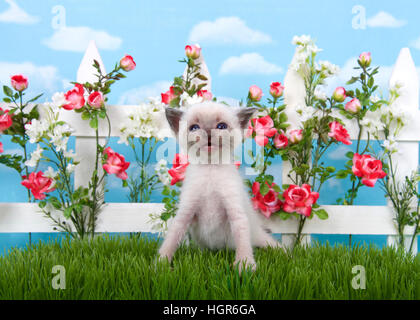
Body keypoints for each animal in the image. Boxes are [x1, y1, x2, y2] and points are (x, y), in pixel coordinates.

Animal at [159, 101, 280, 272]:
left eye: (221, 126)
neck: (211, 168)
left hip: (259, 237)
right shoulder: (186, 212)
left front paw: (245, 264)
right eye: (194, 127)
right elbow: (172, 237)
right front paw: (161, 263)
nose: (209, 131)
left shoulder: (235, 211)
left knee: (271, 244)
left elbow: (242, 239)